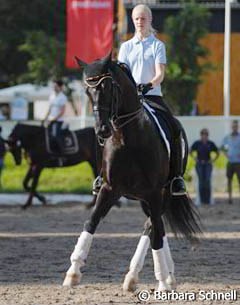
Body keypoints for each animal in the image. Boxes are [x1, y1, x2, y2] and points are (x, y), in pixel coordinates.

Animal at [62, 54, 202, 290]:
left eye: (109, 87)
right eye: (88, 91)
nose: (102, 130)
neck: (127, 138)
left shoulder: (154, 193)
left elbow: (155, 234)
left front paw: (162, 282)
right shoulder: (109, 189)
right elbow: (91, 222)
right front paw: (73, 272)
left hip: (163, 194)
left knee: (153, 227)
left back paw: (152, 277)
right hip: (146, 199)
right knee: (156, 226)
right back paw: (151, 276)